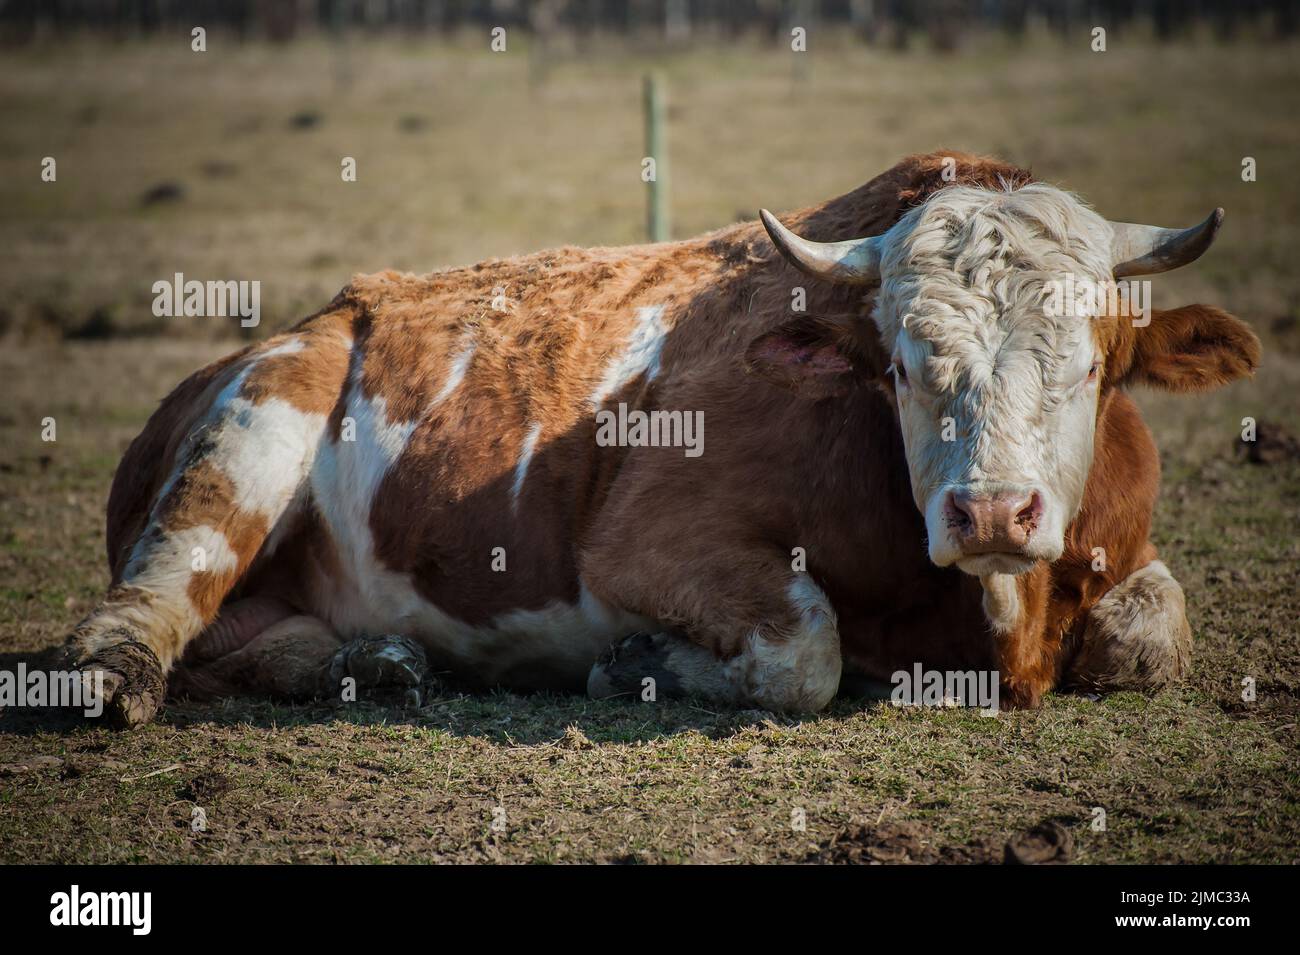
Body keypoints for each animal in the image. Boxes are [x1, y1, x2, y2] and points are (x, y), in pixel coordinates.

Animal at [63, 153, 1258, 727]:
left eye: (1092, 366)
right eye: (903, 368)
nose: (993, 511)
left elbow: (1152, 634)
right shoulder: (645, 540)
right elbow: (806, 649)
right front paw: (643, 662)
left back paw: (374, 663)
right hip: (257, 416)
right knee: (156, 597)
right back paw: (111, 673)